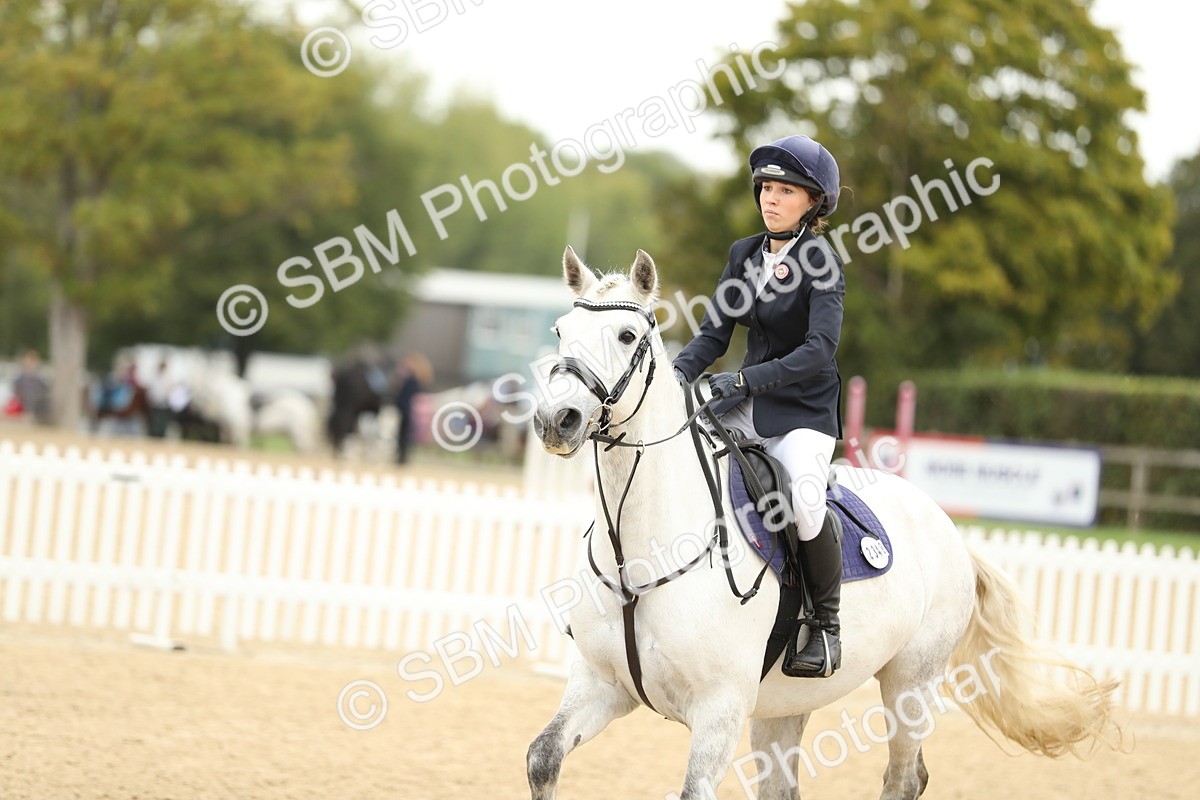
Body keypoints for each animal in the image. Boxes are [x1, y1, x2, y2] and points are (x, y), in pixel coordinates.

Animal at [526, 247, 1121, 800]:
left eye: (627, 335)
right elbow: (543, 757)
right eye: (560, 331)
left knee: (905, 776)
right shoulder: (601, 683)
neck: (642, 553)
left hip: (911, 683)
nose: (557, 421)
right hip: (786, 704)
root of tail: (948, 528)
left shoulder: (720, 709)